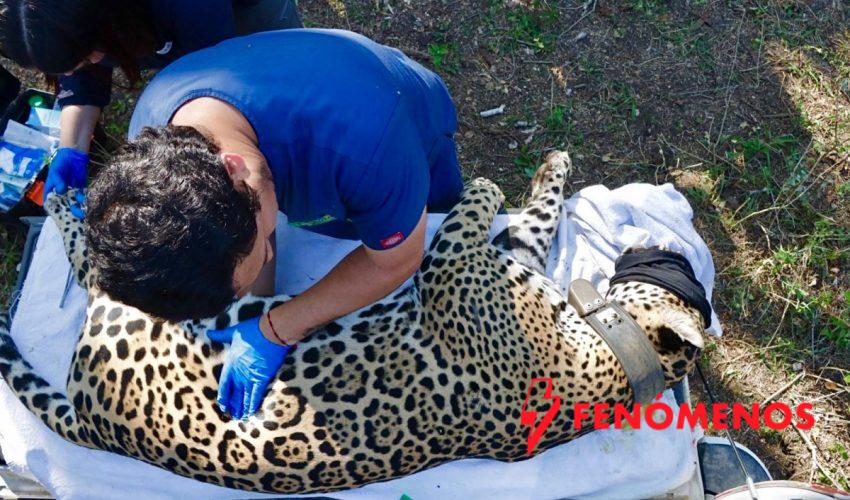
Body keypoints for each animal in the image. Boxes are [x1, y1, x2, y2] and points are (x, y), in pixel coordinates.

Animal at [0, 150, 707, 494]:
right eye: (672, 262)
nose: (658, 245)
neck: (613, 351)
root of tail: (97, 426)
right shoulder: (510, 259)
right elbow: (537, 216)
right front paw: (550, 169)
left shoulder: (450, 267)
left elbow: (472, 211)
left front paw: (480, 184)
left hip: (162, 309)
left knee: (94, 269)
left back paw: (70, 202)